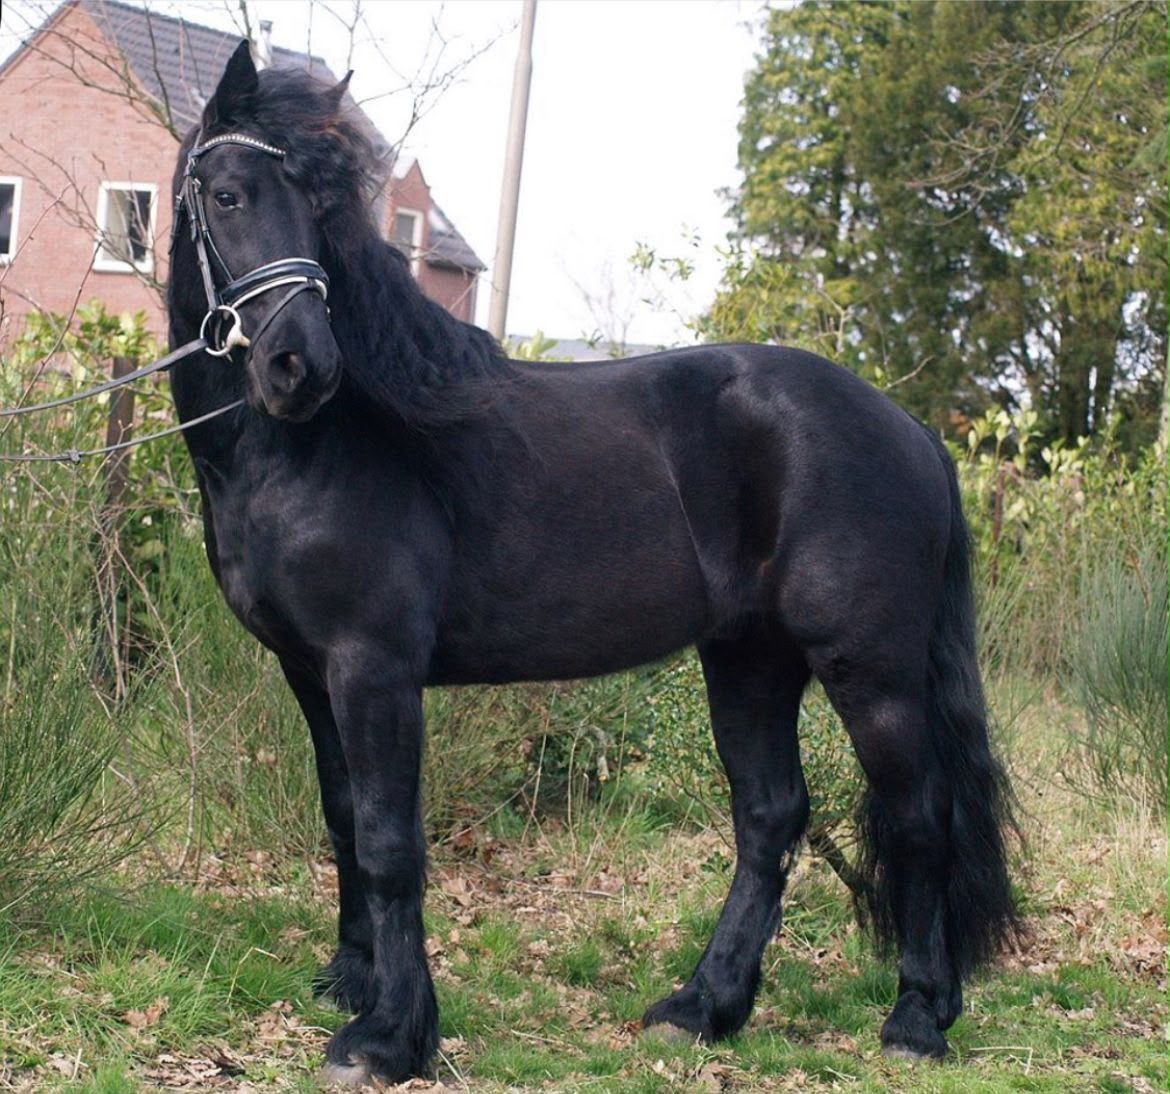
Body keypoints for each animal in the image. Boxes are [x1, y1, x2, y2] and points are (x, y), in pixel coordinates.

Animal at [166, 42, 1017, 1086]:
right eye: (230, 195)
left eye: (320, 209)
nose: (301, 365)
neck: (322, 443)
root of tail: (912, 432)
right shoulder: (308, 671)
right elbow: (342, 820)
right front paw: (354, 981)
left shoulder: (374, 669)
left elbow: (390, 842)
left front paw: (389, 1034)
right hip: (751, 661)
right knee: (771, 819)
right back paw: (703, 1006)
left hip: (872, 671)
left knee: (920, 817)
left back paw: (916, 1018)